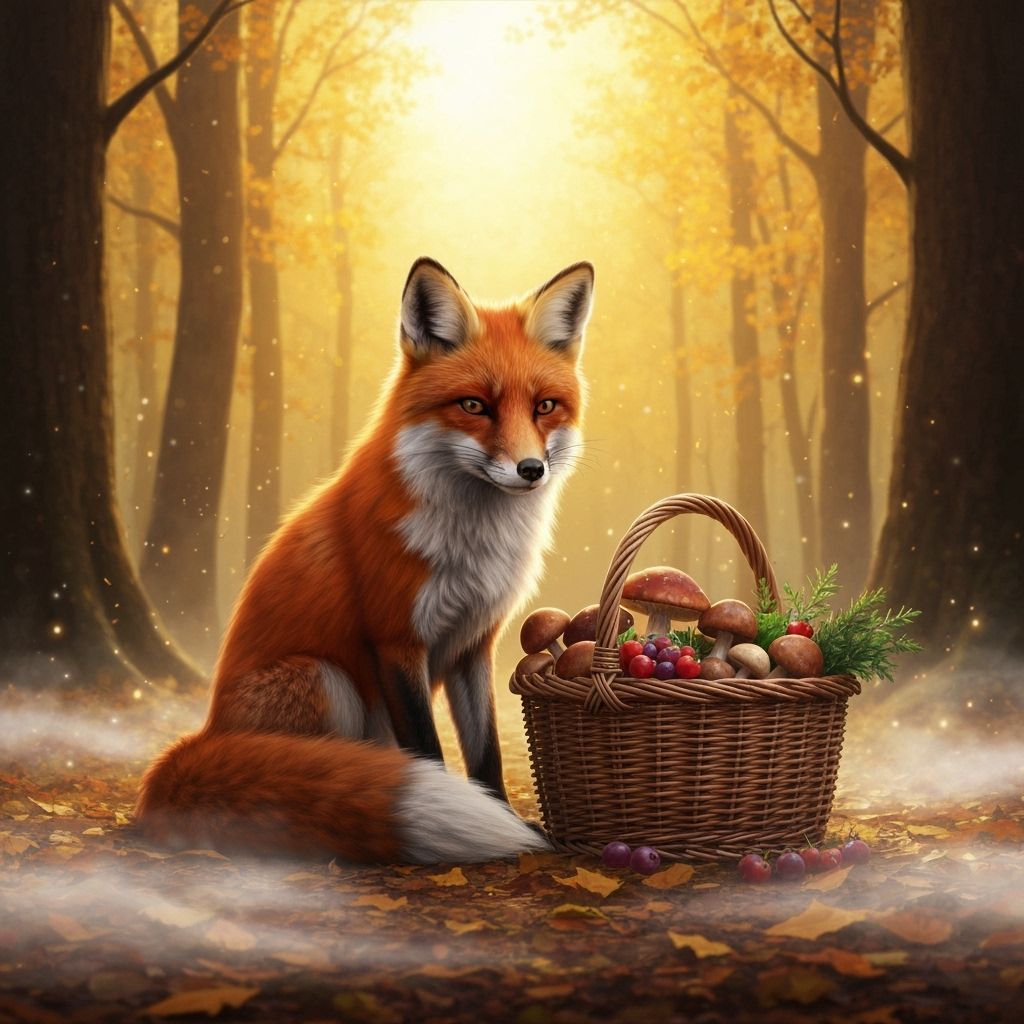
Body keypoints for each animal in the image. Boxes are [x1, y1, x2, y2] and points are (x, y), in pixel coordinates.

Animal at [135, 257, 595, 864]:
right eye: (474, 406)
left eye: (544, 407)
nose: (530, 470)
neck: (473, 546)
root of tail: (205, 736)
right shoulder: (395, 638)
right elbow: (428, 748)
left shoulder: (473, 645)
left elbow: (487, 754)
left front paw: (507, 819)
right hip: (325, 679)